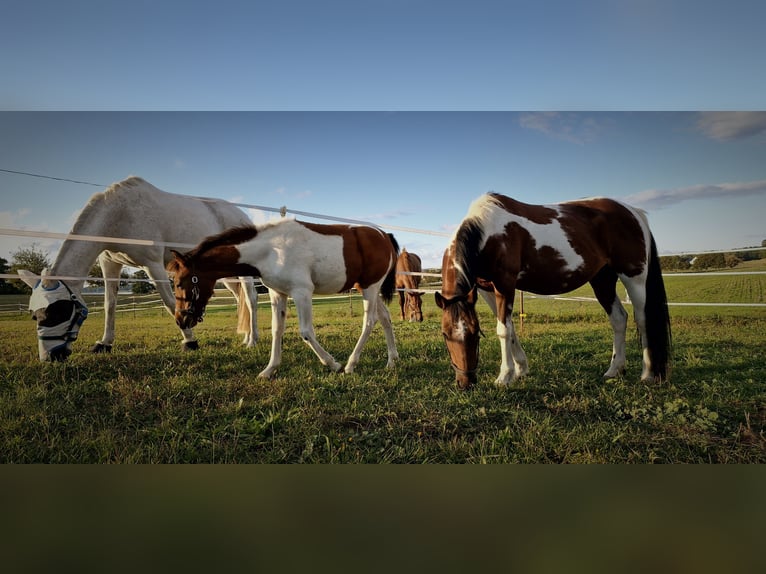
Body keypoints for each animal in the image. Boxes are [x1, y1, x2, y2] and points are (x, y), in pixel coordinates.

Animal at [18, 176, 259, 361]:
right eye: (34, 316)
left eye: (58, 311)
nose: (51, 356)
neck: (119, 213)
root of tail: (240, 215)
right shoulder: (110, 263)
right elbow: (110, 305)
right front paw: (104, 343)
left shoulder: (153, 265)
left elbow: (170, 303)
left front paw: (190, 341)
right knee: (240, 297)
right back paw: (246, 337)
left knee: (251, 297)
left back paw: (253, 341)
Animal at [167, 219, 400, 378]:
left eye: (179, 283)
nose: (180, 319)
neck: (272, 250)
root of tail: (384, 235)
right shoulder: (278, 294)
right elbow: (277, 330)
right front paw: (269, 369)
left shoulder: (302, 293)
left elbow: (306, 332)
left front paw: (332, 363)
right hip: (368, 288)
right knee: (385, 318)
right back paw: (391, 361)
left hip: (370, 288)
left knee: (369, 322)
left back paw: (351, 365)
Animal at [435, 193, 671, 389]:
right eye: (445, 335)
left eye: (476, 334)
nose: (465, 383)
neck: (489, 232)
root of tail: (634, 212)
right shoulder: (485, 289)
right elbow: (511, 329)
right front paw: (521, 370)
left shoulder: (505, 284)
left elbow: (503, 330)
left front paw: (504, 376)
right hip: (602, 280)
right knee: (619, 319)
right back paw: (614, 370)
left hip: (634, 278)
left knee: (643, 320)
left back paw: (648, 374)